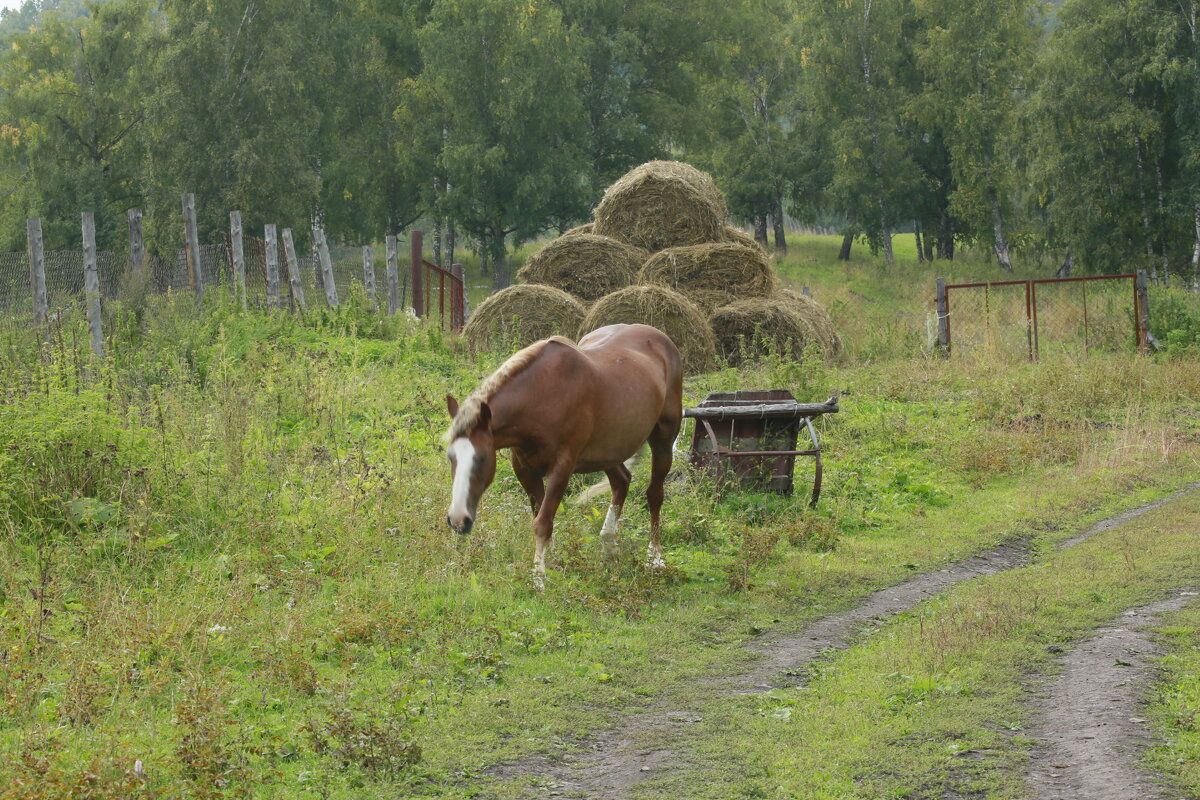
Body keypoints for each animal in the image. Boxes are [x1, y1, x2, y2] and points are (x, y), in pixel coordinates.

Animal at [444, 321, 686, 592]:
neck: (543, 397)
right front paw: (553, 562)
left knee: (654, 495)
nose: (458, 519)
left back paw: (654, 557)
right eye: (451, 457)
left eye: (482, 458)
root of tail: (661, 339)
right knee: (621, 481)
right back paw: (609, 544)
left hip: (663, 440)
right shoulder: (525, 469)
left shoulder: (562, 468)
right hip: (606, 451)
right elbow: (541, 516)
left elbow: (542, 522)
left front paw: (538, 578)